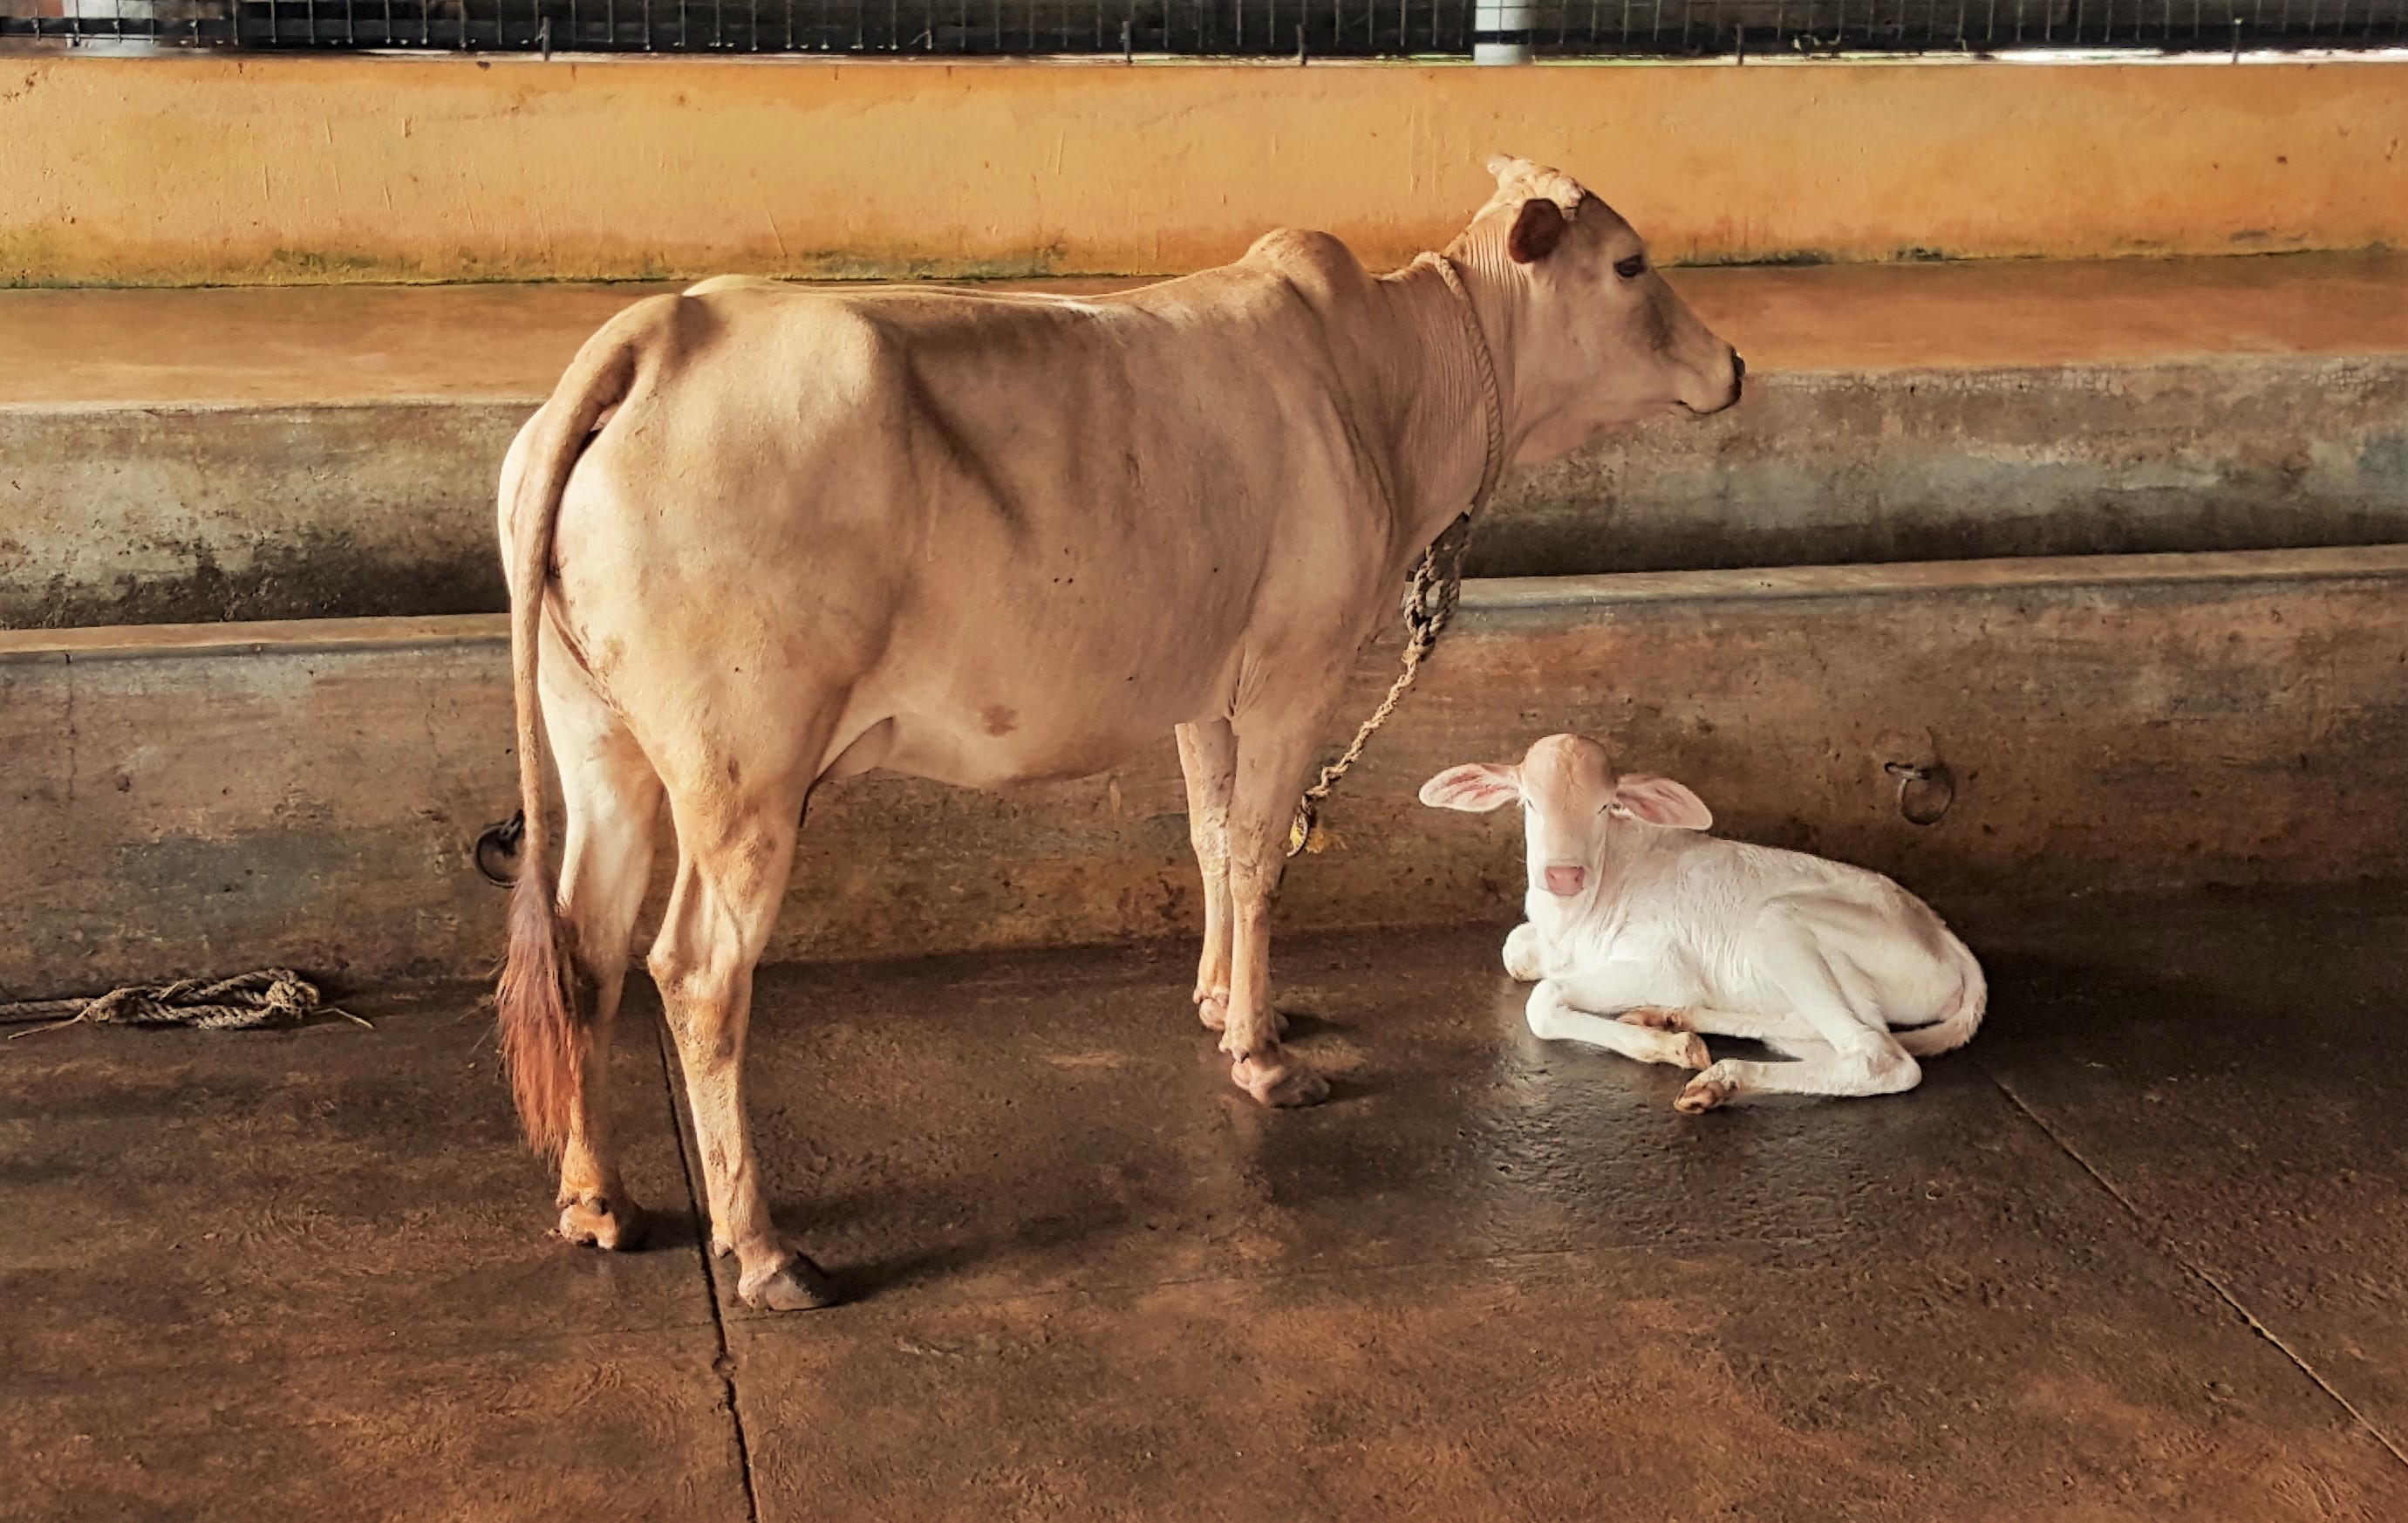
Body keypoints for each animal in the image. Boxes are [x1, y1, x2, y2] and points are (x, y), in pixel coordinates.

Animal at [498, 160, 1743, 1310]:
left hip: (599, 741)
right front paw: (1264, 1060)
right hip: (745, 769)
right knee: (697, 970)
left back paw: (598, 1201)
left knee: (583, 943)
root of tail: (662, 331)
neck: (1391, 390)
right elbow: (1259, 855)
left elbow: (1208, 837)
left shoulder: (1206, 685)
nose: (1733, 367)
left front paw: (1223, 1005)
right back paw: (762, 1252)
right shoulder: (1294, 672)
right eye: (1630, 263)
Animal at [1415, 732, 1984, 1113]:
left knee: (1880, 1057)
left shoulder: (1660, 962)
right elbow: (1514, 951)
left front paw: (1668, 1049)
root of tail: (1946, 938)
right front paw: (1667, 1033)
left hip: (1782, 922)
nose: (1563, 874)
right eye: (1529, 802)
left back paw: (1719, 1078)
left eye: (1605, 806)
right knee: (1814, 1033)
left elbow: (1543, 999)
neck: (1574, 922)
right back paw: (1672, 1018)